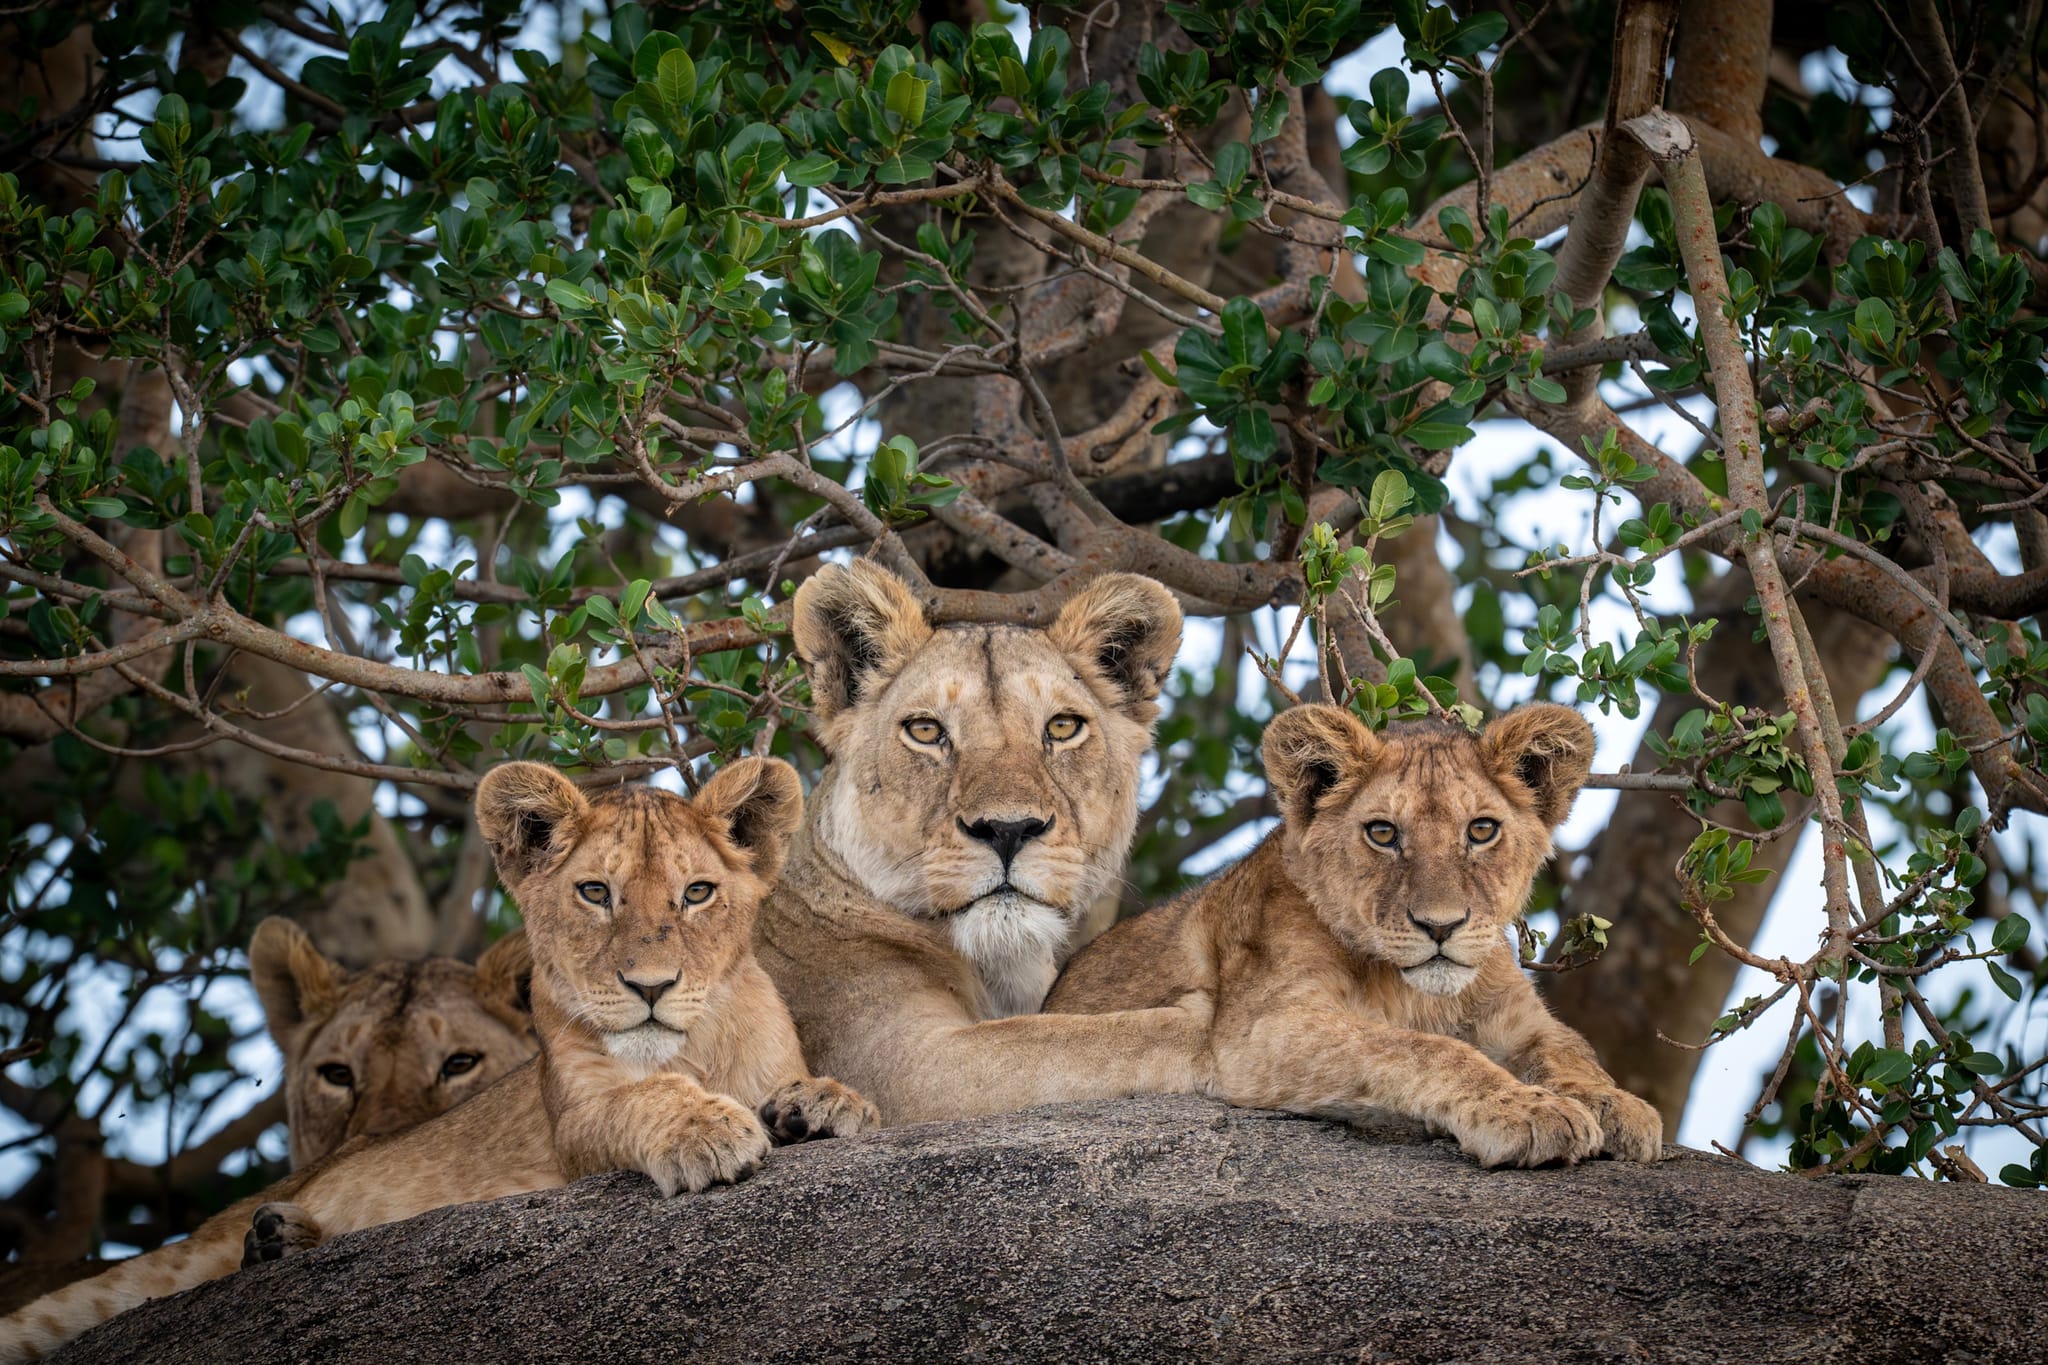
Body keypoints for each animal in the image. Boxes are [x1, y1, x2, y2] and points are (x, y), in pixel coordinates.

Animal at [753, 561, 1214, 1125]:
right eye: (925, 730)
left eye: (1063, 727)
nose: (1008, 830)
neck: (999, 971)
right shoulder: (901, 1068)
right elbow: (1087, 1040)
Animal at [1045, 702, 1664, 1168]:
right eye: (1383, 833)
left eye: (1482, 830)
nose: (1441, 926)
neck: (1415, 994)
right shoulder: (1260, 1031)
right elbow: (1422, 1048)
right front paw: (1526, 1110)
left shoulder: (1520, 1019)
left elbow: (1571, 1049)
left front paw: (1614, 1103)